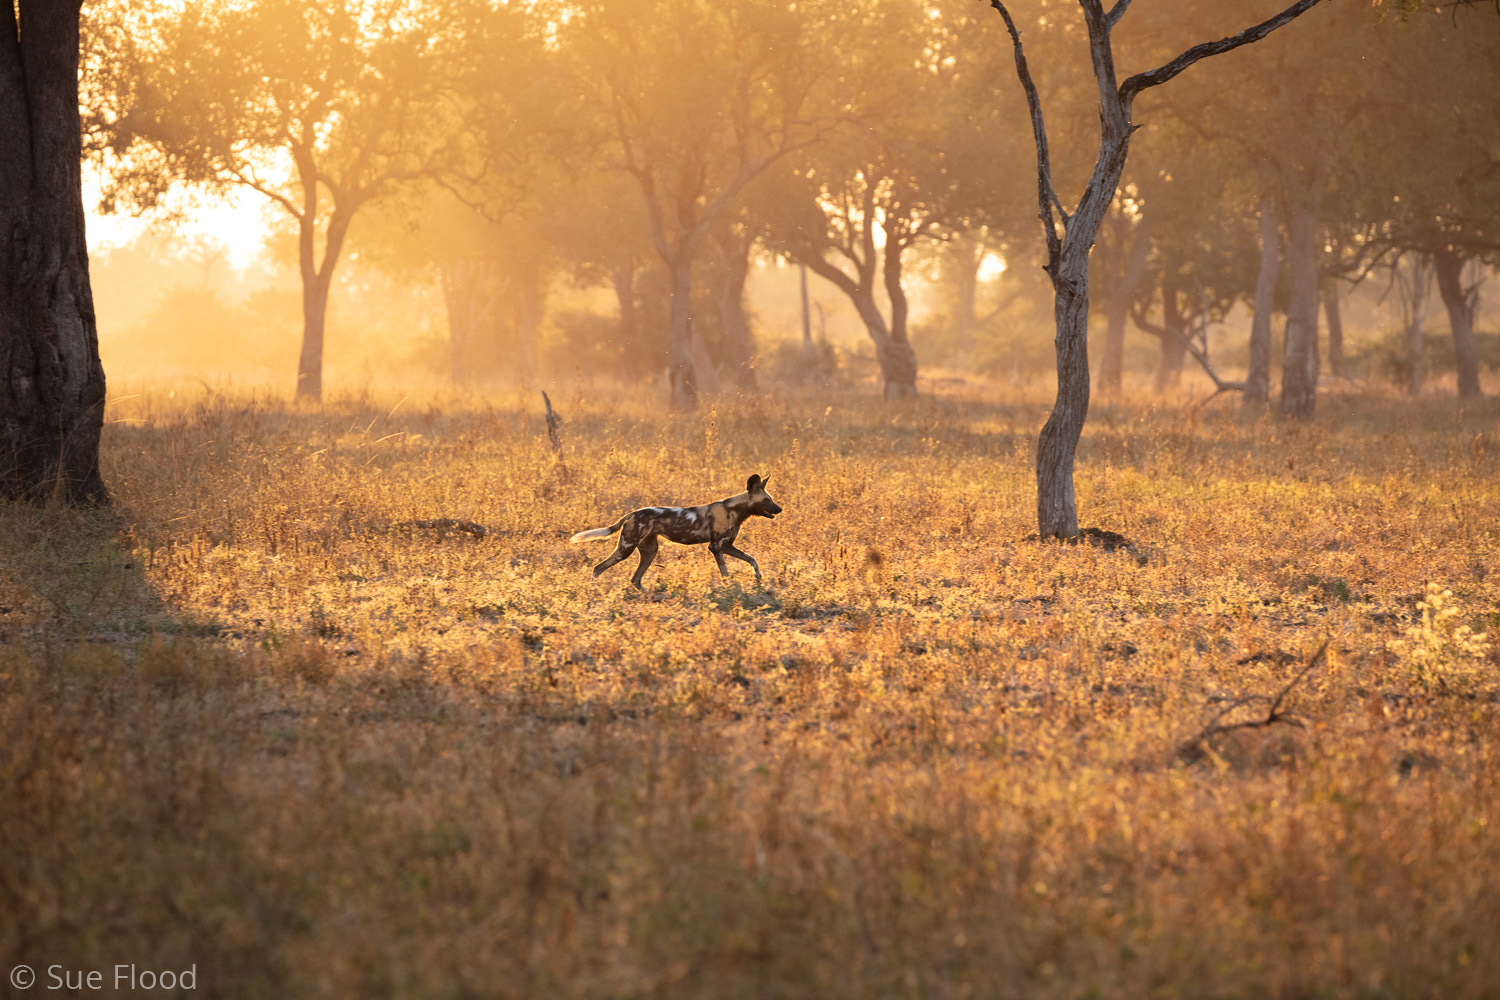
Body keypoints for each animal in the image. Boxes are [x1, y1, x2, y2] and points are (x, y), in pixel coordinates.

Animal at [570, 476, 786, 590]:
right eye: (767, 500)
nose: (780, 509)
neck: (734, 510)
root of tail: (632, 513)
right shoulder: (716, 547)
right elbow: (725, 573)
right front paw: (731, 589)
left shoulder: (727, 546)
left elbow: (752, 560)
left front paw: (758, 578)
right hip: (625, 549)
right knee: (598, 568)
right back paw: (592, 590)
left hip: (649, 552)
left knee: (635, 579)